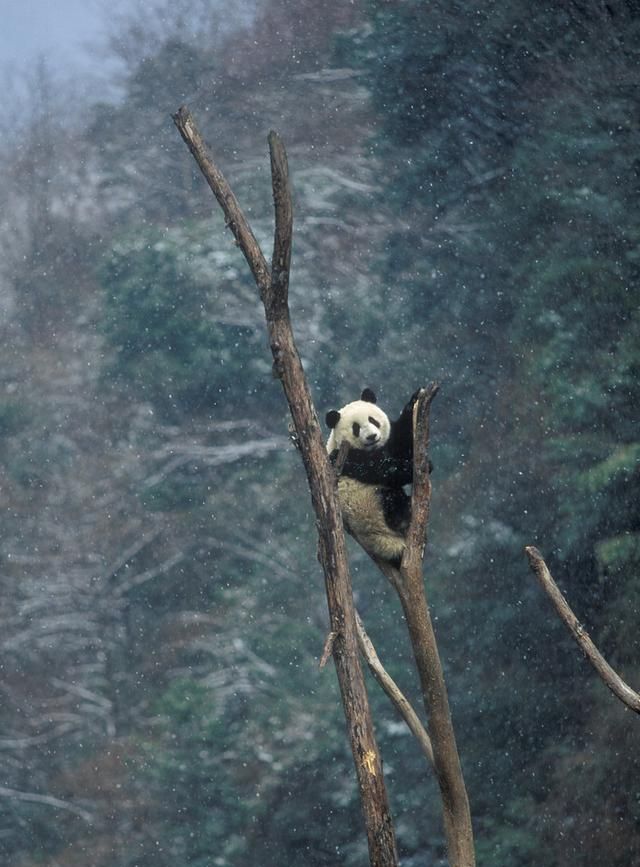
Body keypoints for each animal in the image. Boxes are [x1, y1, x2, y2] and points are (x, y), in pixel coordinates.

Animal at [324, 388, 420, 568]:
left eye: (372, 420)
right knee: (390, 500)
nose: (371, 437)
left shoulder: (389, 443)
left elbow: (402, 442)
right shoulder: (347, 457)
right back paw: (403, 514)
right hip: (371, 510)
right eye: (355, 428)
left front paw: (414, 401)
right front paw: (414, 468)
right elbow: (381, 470)